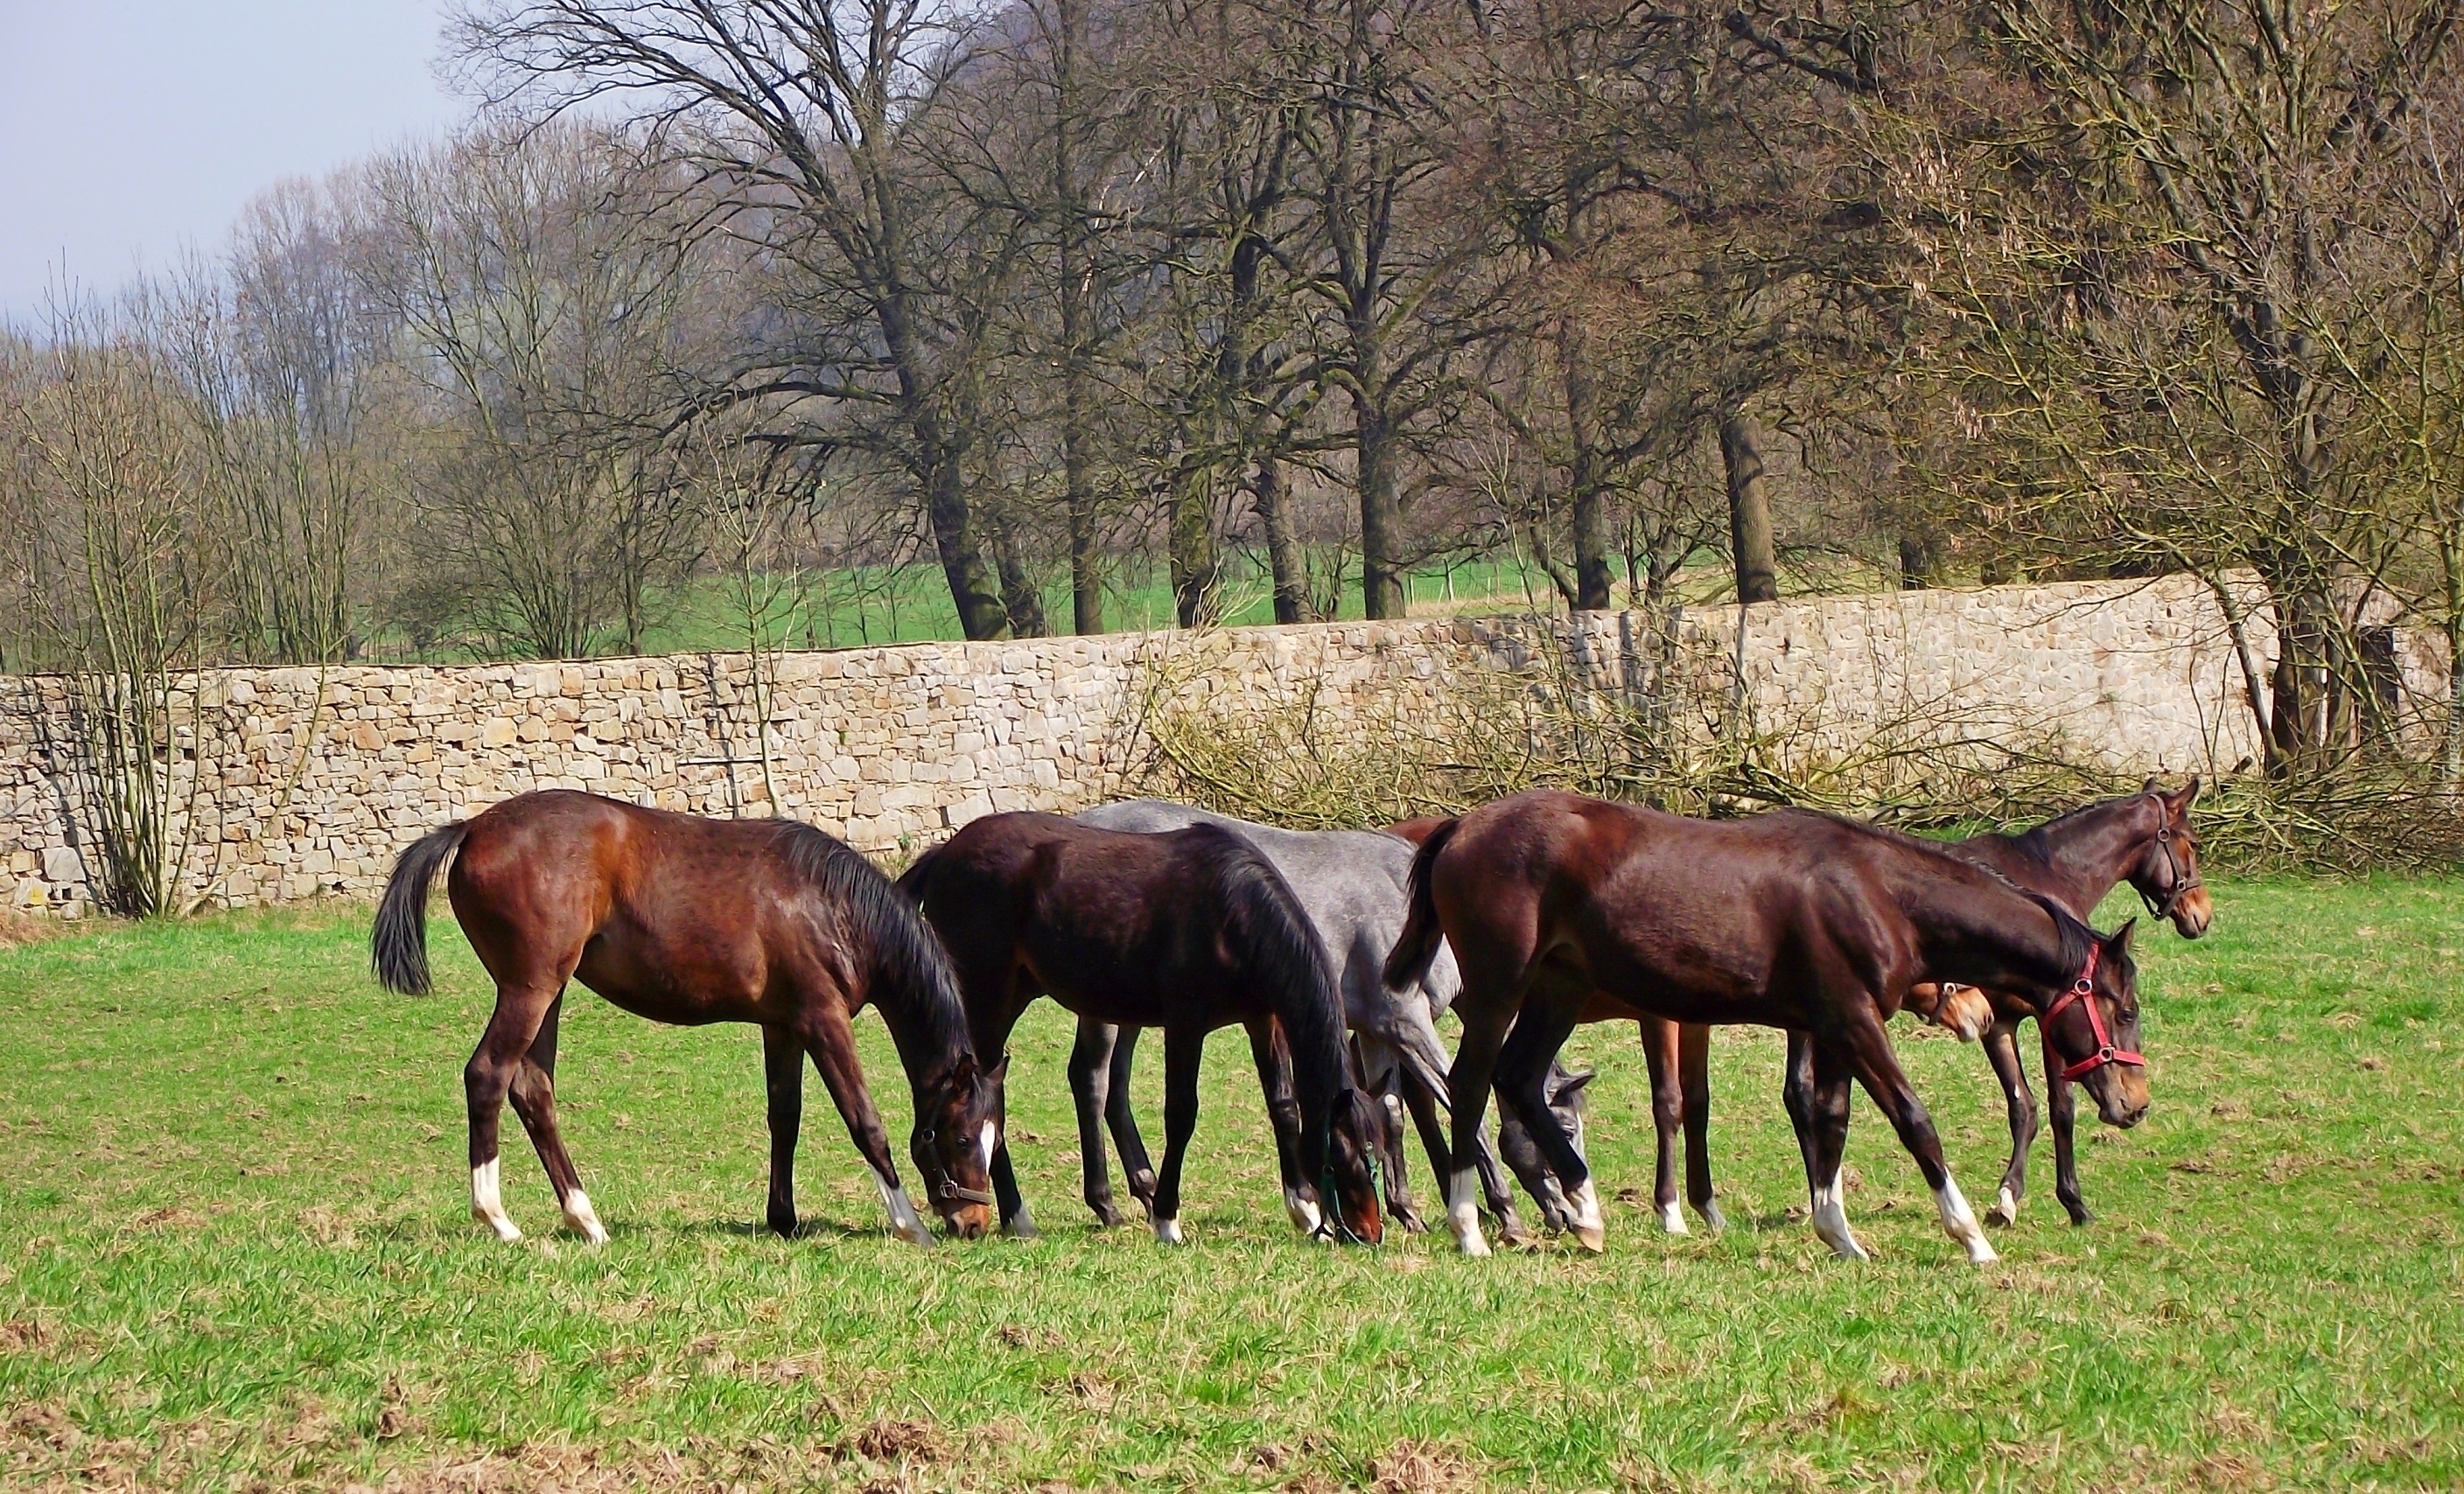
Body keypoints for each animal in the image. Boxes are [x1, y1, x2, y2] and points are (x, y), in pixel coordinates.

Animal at [369, 797, 1004, 1250]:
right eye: (962, 1137)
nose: (975, 1221)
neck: (831, 906)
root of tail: (473, 827)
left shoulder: (783, 1027)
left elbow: (785, 1119)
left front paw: (784, 1219)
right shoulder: (823, 1022)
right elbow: (865, 1122)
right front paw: (908, 1225)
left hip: (547, 994)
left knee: (532, 1091)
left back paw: (586, 1220)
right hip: (530, 990)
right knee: (488, 1075)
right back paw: (496, 1217)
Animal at [897, 812, 1390, 1245]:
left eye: (1379, 1152)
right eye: (1340, 1159)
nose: (1370, 1232)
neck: (1230, 912)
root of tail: (945, 853)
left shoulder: (1262, 1020)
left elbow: (1283, 1105)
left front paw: (1304, 1209)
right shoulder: (1186, 1025)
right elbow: (1181, 1114)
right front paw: (1167, 1219)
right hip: (988, 1002)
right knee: (984, 1098)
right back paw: (1016, 1214)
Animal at [1064, 806, 1577, 1240]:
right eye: (1568, 1130)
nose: (1565, 1213)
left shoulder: (1374, 1031)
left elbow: (1390, 1115)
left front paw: (1406, 1210)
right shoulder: (1406, 1023)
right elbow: (1466, 1108)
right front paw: (1505, 1213)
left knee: (1115, 1088)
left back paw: (1146, 1189)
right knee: (1091, 1080)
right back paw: (1108, 1202)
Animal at [1390, 797, 2158, 1260]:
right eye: (2124, 1009)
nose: (2135, 1104)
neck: (1877, 893)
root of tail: (1461, 829)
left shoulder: (1836, 1027)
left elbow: (1832, 1120)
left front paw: (1838, 1233)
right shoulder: (1853, 1022)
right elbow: (1914, 1121)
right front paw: (1970, 1235)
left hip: (1558, 989)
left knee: (1519, 1080)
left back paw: (1584, 1209)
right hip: (1500, 990)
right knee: (1470, 1083)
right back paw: (1470, 1227)